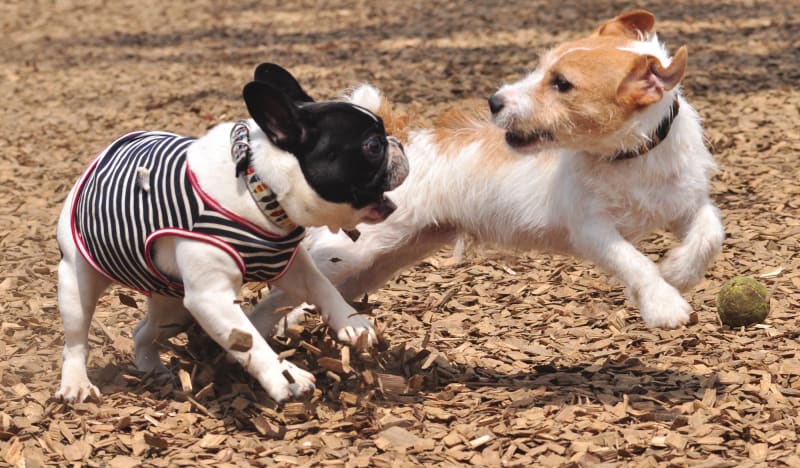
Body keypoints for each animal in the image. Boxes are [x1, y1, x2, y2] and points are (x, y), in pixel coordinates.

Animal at [55, 63, 408, 403]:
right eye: (372, 146)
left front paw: (352, 322)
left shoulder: (290, 267)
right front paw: (285, 377)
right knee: (76, 340)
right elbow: (249, 340)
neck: (258, 184)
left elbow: (323, 287)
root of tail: (101, 157)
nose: (398, 144)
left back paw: (152, 369)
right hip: (78, 282)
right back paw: (77, 384)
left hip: (174, 307)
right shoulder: (212, 297)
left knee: (143, 332)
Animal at [249, 10, 724, 336]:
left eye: (562, 84)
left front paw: (678, 273)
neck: (630, 156)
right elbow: (635, 261)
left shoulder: (685, 202)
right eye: (540, 67)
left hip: (378, 263)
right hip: (352, 254)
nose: (494, 101)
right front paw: (663, 303)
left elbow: (710, 233)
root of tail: (398, 142)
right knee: (276, 295)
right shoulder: (593, 230)